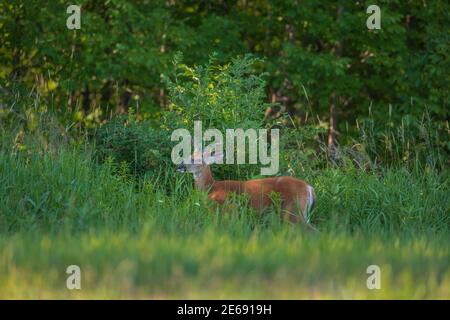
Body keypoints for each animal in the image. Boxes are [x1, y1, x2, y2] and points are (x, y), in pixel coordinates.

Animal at [176, 149, 316, 231]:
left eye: (193, 159)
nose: (179, 166)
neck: (211, 188)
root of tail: (309, 188)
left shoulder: (227, 208)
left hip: (292, 210)